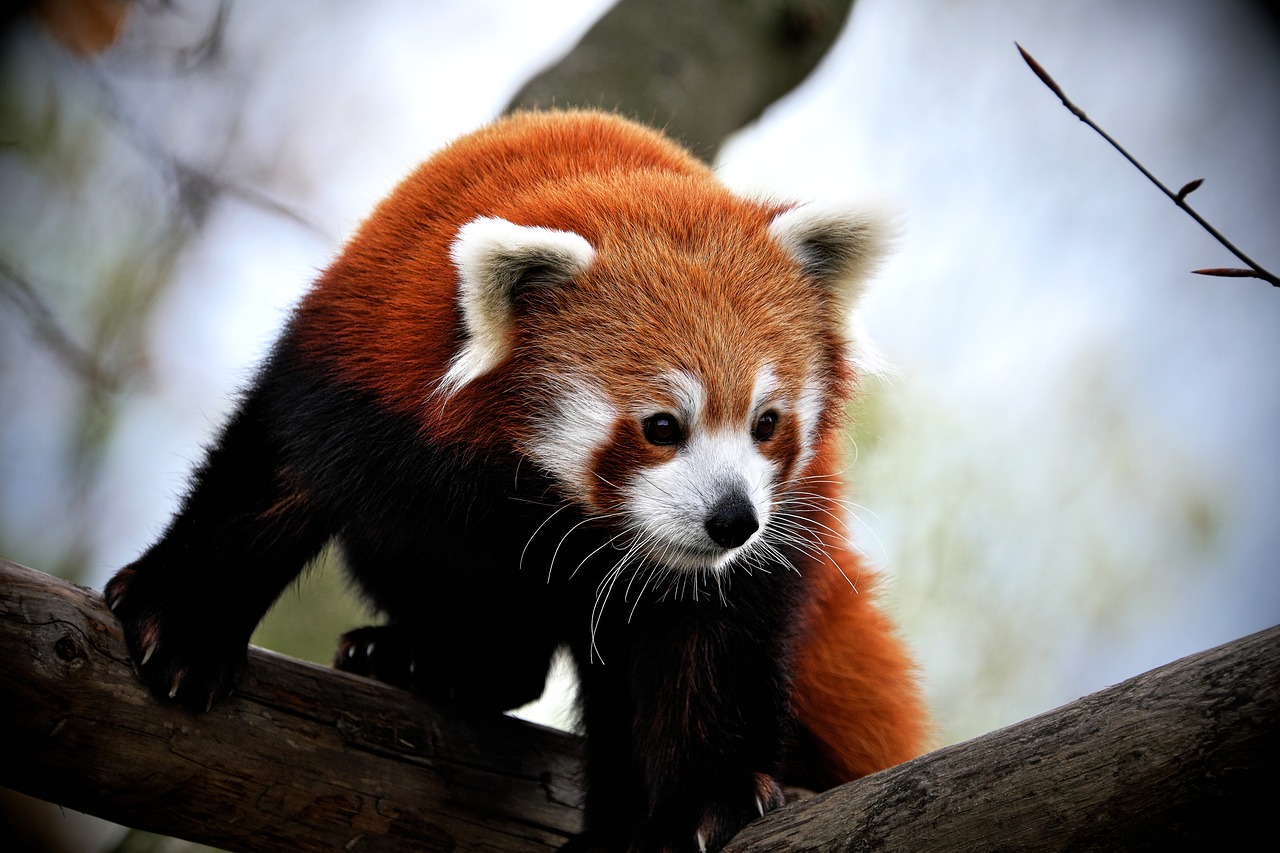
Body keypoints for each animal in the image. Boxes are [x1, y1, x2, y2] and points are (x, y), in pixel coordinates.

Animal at [104, 109, 926, 845]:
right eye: (662, 426)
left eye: (766, 422)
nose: (733, 520)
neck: (535, 494)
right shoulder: (363, 364)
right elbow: (269, 473)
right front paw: (180, 619)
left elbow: (706, 637)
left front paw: (702, 801)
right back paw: (429, 658)